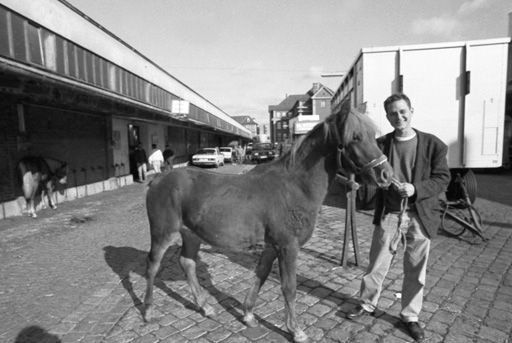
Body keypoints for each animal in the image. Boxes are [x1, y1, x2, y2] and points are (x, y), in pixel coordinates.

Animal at [143, 109, 392, 342]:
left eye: (373, 136)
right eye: (356, 137)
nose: (385, 174)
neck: (294, 187)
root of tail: (158, 179)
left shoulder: (272, 246)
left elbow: (260, 275)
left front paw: (248, 314)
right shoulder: (288, 247)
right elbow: (289, 287)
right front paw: (296, 330)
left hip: (192, 234)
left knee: (187, 263)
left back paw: (205, 306)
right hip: (163, 233)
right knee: (153, 267)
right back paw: (147, 311)